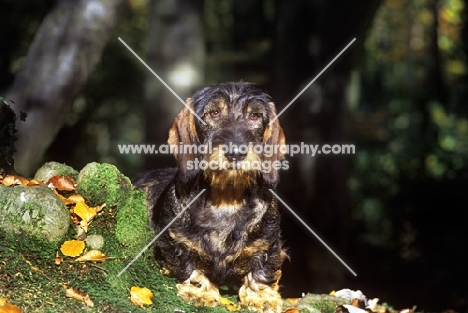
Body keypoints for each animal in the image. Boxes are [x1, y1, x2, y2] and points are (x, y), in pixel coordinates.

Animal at [133, 81, 288, 310]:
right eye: (214, 113)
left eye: (255, 116)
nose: (236, 152)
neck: (226, 198)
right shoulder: (176, 242)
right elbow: (189, 266)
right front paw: (199, 291)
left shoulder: (268, 245)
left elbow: (261, 269)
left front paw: (261, 296)